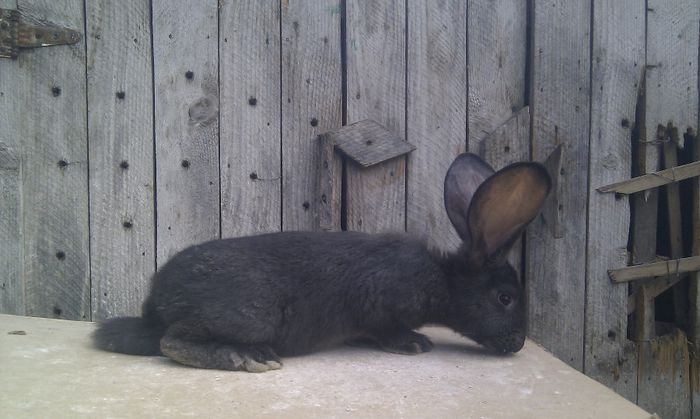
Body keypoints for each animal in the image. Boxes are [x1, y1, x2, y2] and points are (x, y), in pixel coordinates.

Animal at [94, 153, 552, 372]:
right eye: (506, 298)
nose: (518, 344)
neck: (441, 279)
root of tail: (157, 300)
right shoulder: (381, 306)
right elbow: (387, 330)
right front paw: (415, 344)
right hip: (251, 315)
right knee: (172, 342)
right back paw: (248, 358)